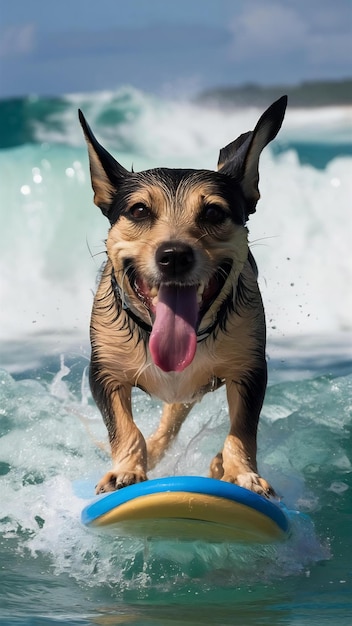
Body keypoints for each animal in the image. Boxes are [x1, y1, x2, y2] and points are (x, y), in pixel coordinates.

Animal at [79, 96, 286, 498]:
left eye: (214, 211)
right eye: (139, 210)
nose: (174, 255)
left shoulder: (249, 370)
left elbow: (242, 429)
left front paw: (241, 472)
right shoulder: (105, 370)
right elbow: (124, 426)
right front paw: (126, 469)